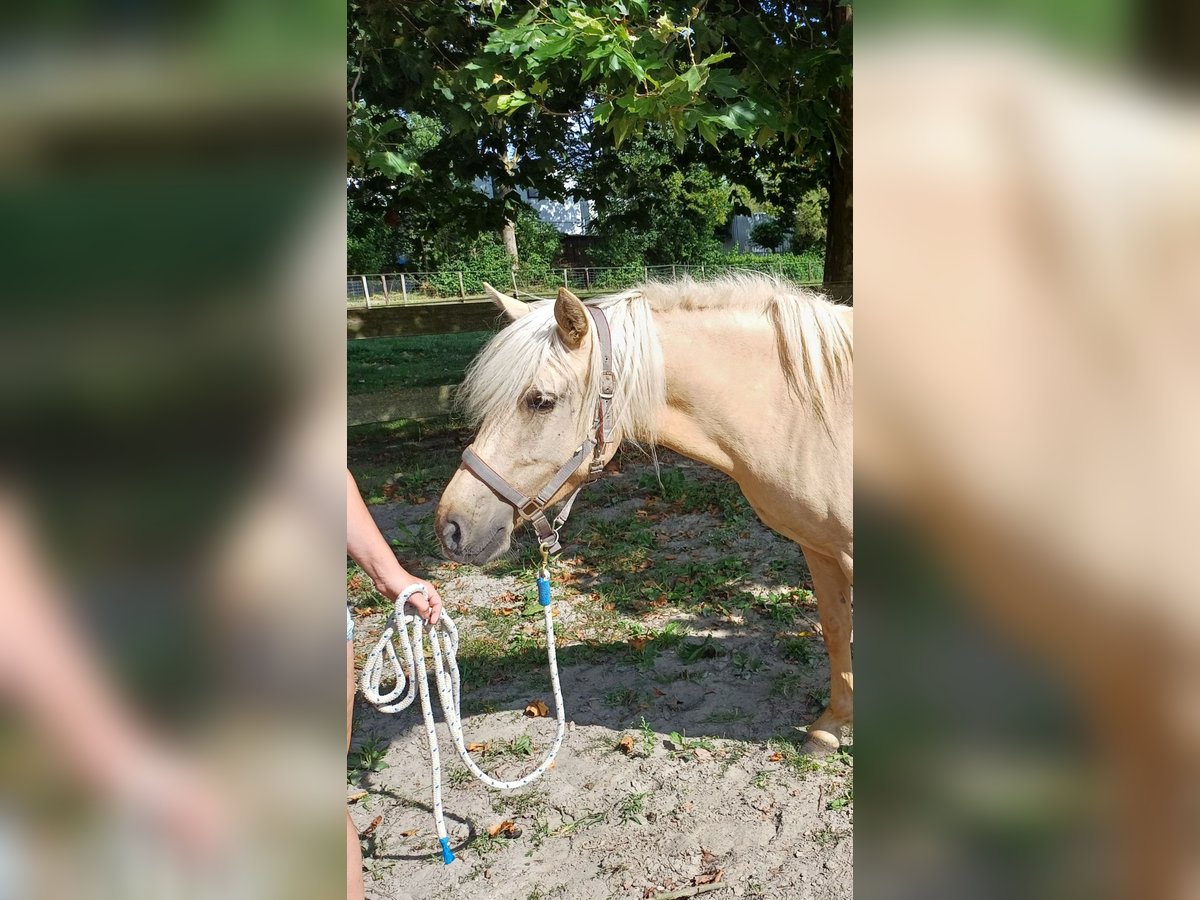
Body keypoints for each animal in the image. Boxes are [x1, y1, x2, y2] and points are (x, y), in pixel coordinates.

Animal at [432, 274, 854, 753]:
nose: (451, 528)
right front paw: (829, 728)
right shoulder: (818, 547)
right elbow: (835, 629)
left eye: (540, 401)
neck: (811, 414)